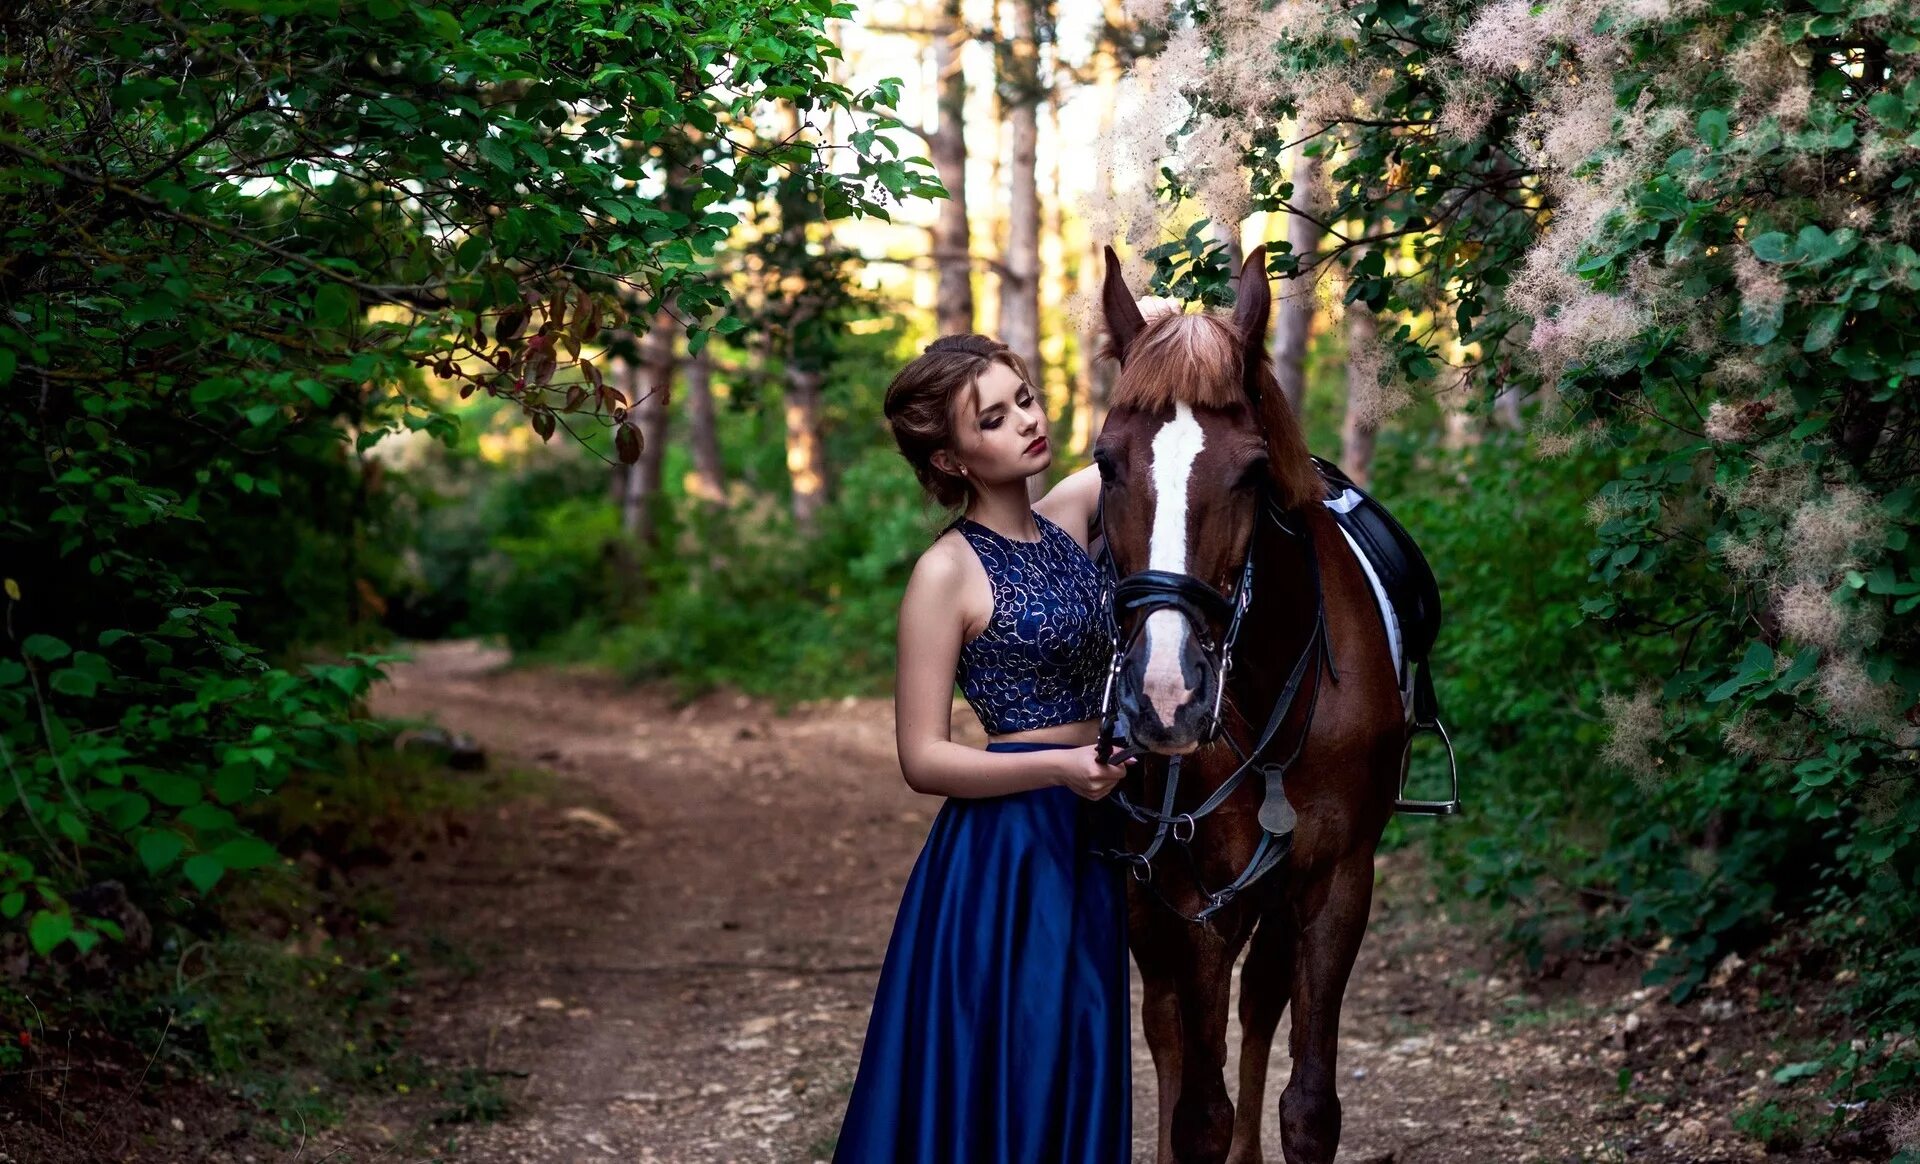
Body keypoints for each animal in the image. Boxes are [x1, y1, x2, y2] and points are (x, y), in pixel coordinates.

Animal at [1098, 245, 1413, 1164]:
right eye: (1105, 461)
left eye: (1251, 469)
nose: (1165, 696)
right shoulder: (1194, 897)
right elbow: (1197, 1108)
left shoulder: (1337, 881)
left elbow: (1307, 1108)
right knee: (1167, 1027)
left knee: (1259, 1004)